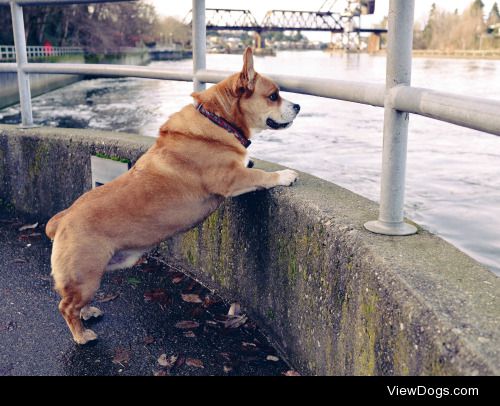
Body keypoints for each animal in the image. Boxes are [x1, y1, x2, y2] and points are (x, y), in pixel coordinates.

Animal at [45, 48, 298, 346]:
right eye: (273, 96)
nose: (298, 106)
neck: (218, 119)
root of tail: (62, 220)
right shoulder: (231, 179)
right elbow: (260, 175)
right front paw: (283, 175)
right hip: (86, 277)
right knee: (66, 306)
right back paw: (81, 335)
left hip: (91, 276)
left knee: (75, 303)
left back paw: (88, 313)